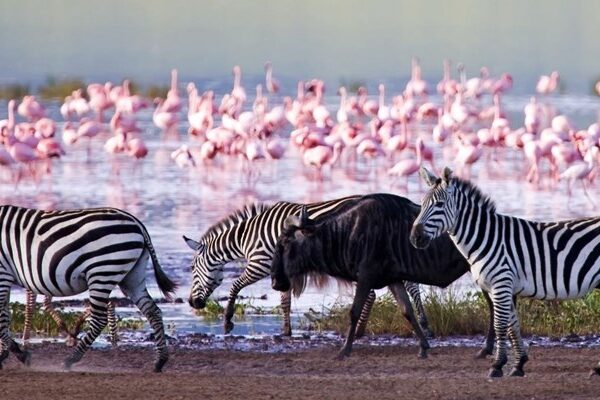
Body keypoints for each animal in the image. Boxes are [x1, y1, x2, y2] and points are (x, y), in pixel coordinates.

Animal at [0, 206, 178, 372]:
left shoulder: (3, 273)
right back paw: (160, 361)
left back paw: (70, 360)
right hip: (133, 277)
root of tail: (137, 223)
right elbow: (5, 316)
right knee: (153, 311)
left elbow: (1, 319)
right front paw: (4, 354)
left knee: (100, 319)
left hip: (102, 273)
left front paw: (19, 354)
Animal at [183, 196, 432, 338]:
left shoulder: (260, 264)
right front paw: (286, 331)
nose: (192, 303)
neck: (247, 237)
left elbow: (235, 286)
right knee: (408, 286)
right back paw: (422, 323)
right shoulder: (281, 270)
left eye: (193, 269)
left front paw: (227, 322)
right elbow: (285, 301)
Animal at [410, 166, 600, 378]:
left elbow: (500, 325)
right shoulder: (502, 287)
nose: (415, 237)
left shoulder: (501, 283)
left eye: (440, 204)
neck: (486, 238)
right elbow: (512, 326)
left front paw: (497, 365)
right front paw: (518, 365)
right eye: (422, 204)